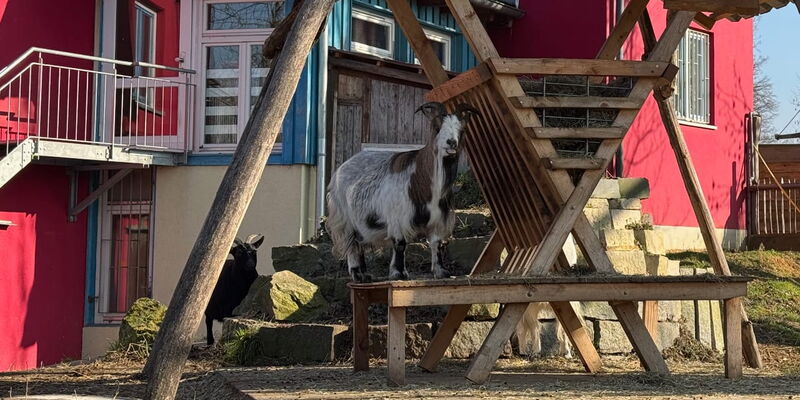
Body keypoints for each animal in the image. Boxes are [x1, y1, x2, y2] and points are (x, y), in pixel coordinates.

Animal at [326, 102, 478, 282]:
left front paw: (441, 271)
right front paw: (398, 273)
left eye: (461, 130)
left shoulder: (437, 219)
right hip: (344, 218)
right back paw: (357, 273)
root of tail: (340, 169)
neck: (420, 179)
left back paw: (365, 273)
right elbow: (400, 244)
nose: (451, 143)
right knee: (352, 243)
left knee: (360, 242)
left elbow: (436, 243)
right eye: (437, 127)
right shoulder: (398, 217)